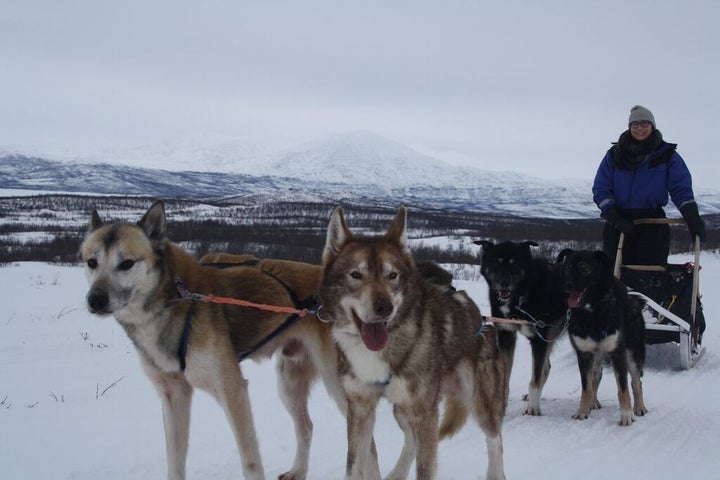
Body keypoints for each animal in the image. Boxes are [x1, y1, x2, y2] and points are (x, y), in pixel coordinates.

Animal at [79, 202, 340, 480]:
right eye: (92, 262)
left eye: (126, 263)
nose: (95, 300)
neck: (174, 300)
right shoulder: (174, 393)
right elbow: (175, 460)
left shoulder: (232, 391)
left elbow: (251, 462)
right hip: (289, 385)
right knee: (306, 426)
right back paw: (298, 471)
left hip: (337, 382)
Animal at [320, 207, 506, 480]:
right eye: (355, 274)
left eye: (392, 275)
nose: (384, 306)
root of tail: (475, 313)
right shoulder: (360, 409)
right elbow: (353, 465)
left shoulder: (425, 413)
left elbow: (425, 467)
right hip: (403, 410)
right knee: (411, 441)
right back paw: (397, 473)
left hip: (479, 402)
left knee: (495, 440)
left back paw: (495, 473)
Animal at [476, 242, 572, 414]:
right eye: (496, 263)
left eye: (515, 264)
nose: (504, 283)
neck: (521, 297)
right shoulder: (506, 336)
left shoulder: (539, 340)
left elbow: (535, 379)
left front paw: (533, 408)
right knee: (546, 367)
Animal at [556, 249, 648, 426]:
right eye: (567, 268)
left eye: (584, 268)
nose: (566, 287)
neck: (592, 311)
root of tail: (633, 299)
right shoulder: (584, 354)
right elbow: (586, 387)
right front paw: (582, 412)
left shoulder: (617, 353)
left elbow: (623, 388)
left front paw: (626, 416)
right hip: (596, 356)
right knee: (595, 377)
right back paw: (592, 402)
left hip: (632, 353)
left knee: (636, 381)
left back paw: (639, 407)